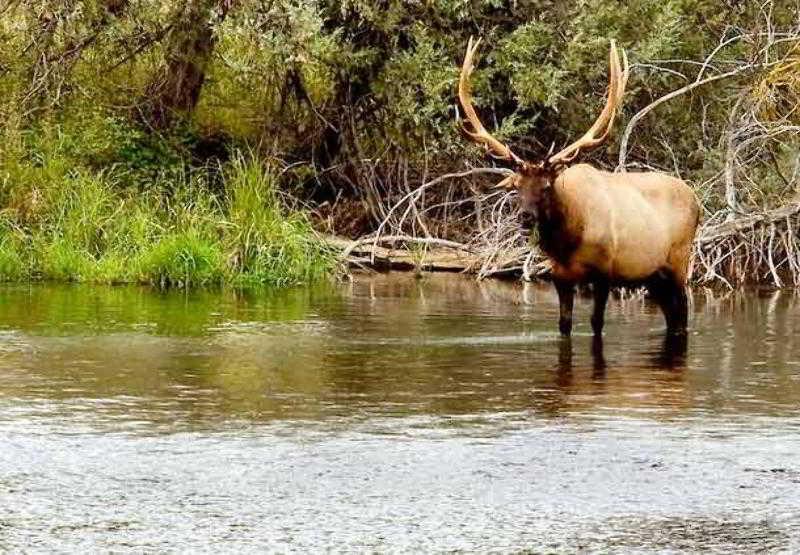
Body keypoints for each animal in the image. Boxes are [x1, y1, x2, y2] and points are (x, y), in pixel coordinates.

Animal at [460, 38, 696, 338]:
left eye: (546, 186)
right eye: (516, 187)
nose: (525, 216)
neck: (569, 238)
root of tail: (697, 200)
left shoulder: (605, 273)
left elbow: (596, 323)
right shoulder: (560, 276)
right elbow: (564, 325)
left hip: (679, 261)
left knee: (682, 314)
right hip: (654, 276)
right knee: (672, 316)